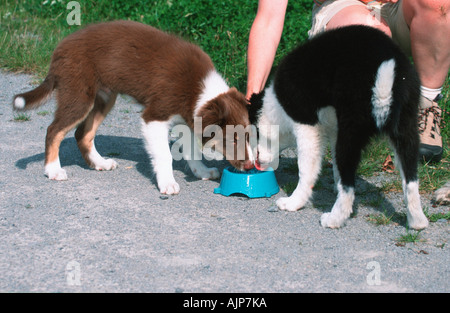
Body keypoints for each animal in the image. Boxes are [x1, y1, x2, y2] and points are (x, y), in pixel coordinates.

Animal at [12, 20, 253, 193]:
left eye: (249, 136)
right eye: (232, 139)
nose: (252, 167)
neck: (199, 89)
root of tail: (59, 49)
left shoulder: (188, 119)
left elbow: (193, 150)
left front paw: (201, 172)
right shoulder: (154, 117)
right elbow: (165, 154)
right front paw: (168, 184)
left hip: (104, 97)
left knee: (83, 133)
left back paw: (100, 163)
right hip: (79, 94)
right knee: (54, 130)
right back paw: (53, 170)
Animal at [250, 25, 428, 229]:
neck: (275, 105)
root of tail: (387, 66)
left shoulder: (307, 128)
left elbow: (306, 170)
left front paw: (293, 202)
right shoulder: (334, 130)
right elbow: (335, 165)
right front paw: (334, 185)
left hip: (351, 134)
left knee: (349, 187)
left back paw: (333, 218)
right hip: (406, 129)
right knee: (411, 180)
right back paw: (417, 221)